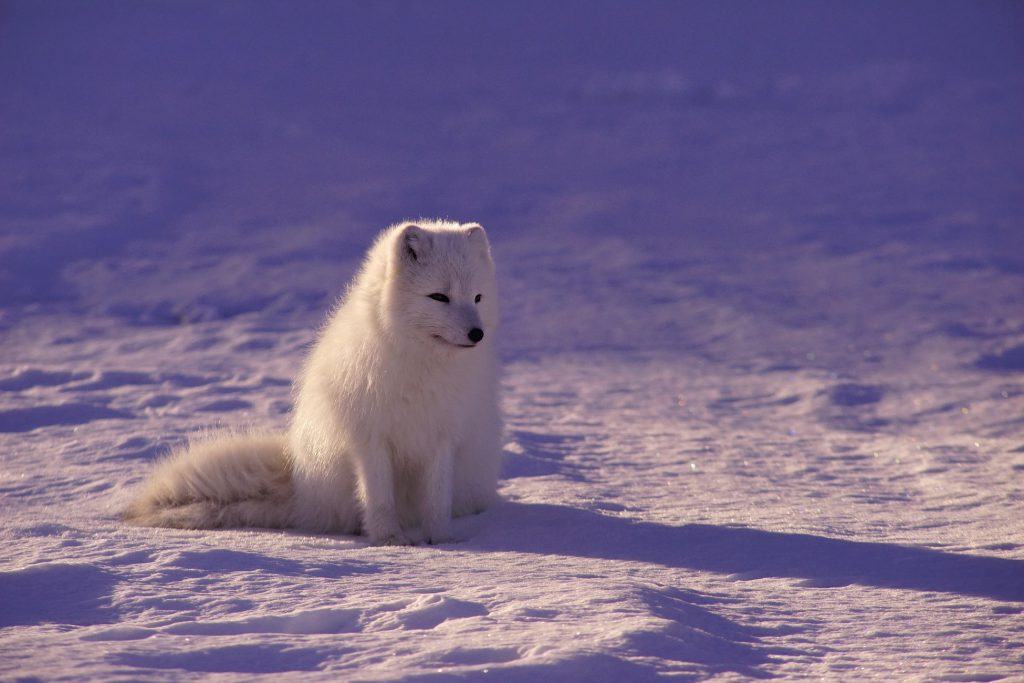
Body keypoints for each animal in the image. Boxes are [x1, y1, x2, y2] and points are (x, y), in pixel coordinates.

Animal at [123, 222, 503, 548]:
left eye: (477, 298)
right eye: (439, 297)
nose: (477, 334)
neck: (422, 367)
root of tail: (301, 487)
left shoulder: (443, 437)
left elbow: (437, 499)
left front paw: (441, 539)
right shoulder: (369, 438)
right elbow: (379, 497)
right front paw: (389, 540)